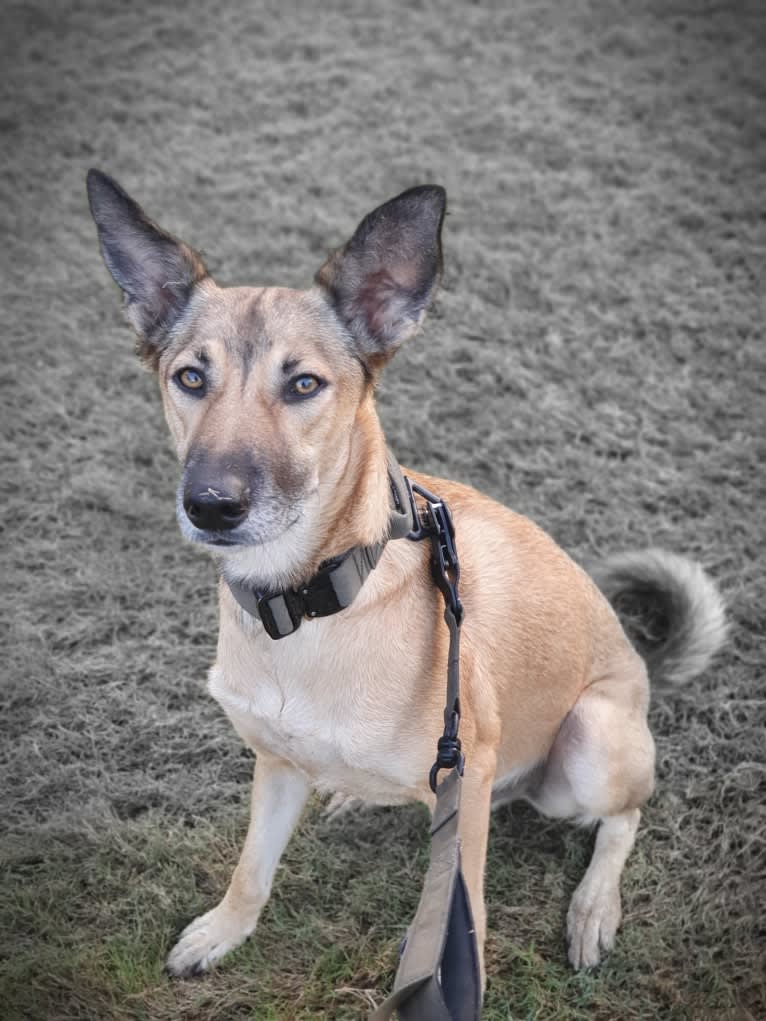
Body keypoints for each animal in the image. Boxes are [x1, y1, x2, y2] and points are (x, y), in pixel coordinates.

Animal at [88, 171, 727, 992]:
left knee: (624, 814)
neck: (310, 603)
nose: (212, 505)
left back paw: (594, 905)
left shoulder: (470, 773)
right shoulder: (278, 764)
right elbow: (251, 869)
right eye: (190, 378)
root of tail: (643, 668)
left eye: (304, 383)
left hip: (586, 744)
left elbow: (467, 913)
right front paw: (224, 931)